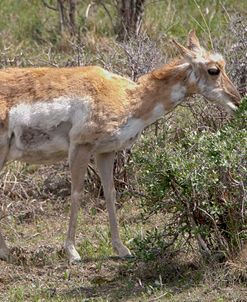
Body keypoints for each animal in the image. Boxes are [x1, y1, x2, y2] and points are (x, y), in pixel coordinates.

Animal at [0, 29, 240, 264]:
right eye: (213, 70)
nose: (238, 101)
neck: (128, 97)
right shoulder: (80, 147)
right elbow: (77, 193)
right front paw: (72, 252)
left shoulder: (105, 152)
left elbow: (110, 193)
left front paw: (122, 248)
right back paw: (6, 251)